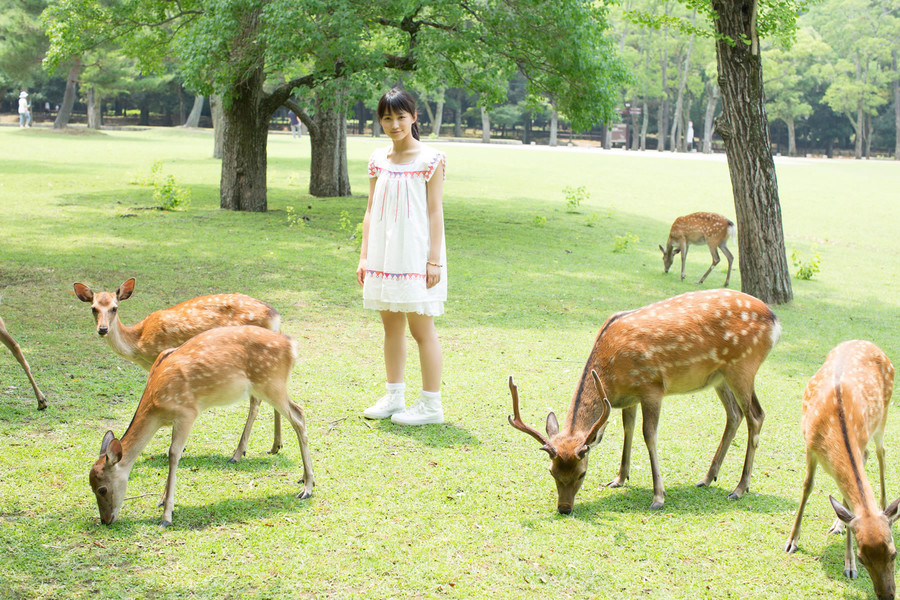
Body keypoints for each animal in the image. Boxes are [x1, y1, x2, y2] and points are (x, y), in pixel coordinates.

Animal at [76, 278, 282, 464]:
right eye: (93, 308)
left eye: (114, 308)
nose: (102, 329)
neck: (139, 344)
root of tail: (275, 317)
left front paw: (179, 447)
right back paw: (275, 446)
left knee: (256, 401)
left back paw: (238, 453)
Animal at [90, 326, 316, 528]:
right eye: (90, 486)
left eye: (102, 489)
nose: (106, 520)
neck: (156, 406)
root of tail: (291, 346)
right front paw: (163, 500)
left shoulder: (187, 412)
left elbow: (173, 454)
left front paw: (166, 516)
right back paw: (302, 477)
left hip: (271, 383)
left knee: (299, 414)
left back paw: (307, 488)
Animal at [510, 288, 776, 512]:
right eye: (552, 472)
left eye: (582, 473)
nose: (564, 508)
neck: (611, 373)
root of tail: (774, 321)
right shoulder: (629, 398)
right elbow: (628, 430)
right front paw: (619, 479)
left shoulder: (652, 388)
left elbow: (649, 435)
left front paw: (658, 497)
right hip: (720, 377)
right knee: (734, 414)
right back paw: (707, 478)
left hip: (743, 367)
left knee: (756, 416)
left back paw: (740, 488)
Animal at [784, 340, 896, 600]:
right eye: (864, 558)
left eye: (894, 553)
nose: (888, 595)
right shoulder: (810, 446)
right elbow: (807, 487)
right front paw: (792, 541)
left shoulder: (861, 442)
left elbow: (847, 499)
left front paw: (848, 566)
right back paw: (838, 524)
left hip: (883, 416)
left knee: (882, 452)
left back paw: (883, 505)